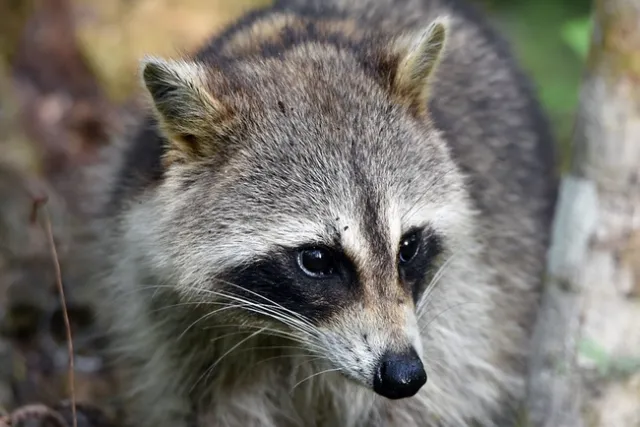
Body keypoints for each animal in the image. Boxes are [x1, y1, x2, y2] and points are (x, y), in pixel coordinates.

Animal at [82, 0, 557, 426]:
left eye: (408, 247)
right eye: (316, 259)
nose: (404, 375)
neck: (288, 337)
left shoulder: (462, 314)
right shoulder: (171, 330)